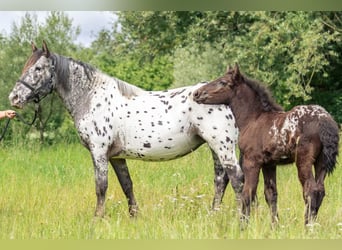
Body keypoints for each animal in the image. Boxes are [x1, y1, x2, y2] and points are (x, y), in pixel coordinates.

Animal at [8, 40, 243, 217]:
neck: (91, 97)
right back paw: (213, 215)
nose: (14, 98)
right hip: (215, 148)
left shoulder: (99, 152)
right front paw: (134, 217)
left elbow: (101, 187)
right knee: (220, 180)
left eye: (38, 68)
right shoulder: (116, 156)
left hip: (222, 146)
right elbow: (126, 185)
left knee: (237, 179)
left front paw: (97, 219)